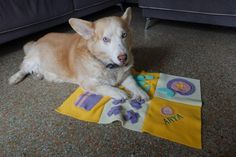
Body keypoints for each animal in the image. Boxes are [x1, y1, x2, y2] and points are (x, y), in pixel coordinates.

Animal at [9, 7, 149, 100]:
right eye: (105, 39)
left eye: (124, 35)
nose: (123, 57)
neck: (107, 64)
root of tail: (38, 40)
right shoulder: (89, 83)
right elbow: (105, 87)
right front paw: (119, 92)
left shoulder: (126, 75)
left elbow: (133, 83)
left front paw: (141, 92)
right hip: (32, 60)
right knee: (23, 68)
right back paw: (15, 78)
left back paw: (38, 74)